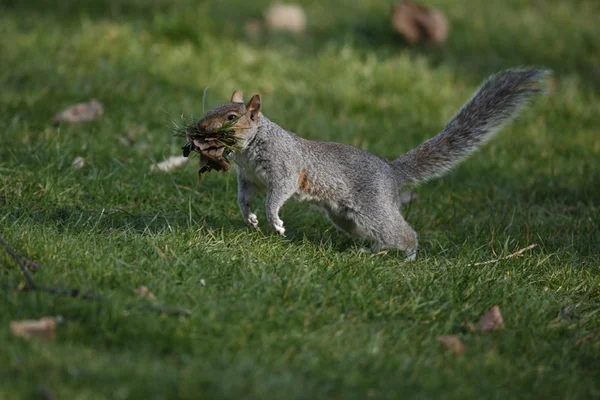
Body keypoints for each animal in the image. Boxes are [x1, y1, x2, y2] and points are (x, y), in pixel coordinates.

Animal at [193, 69, 548, 260]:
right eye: (212, 108)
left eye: (232, 117)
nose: (199, 126)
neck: (249, 148)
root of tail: (392, 171)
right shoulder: (249, 178)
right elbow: (244, 197)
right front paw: (249, 216)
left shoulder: (285, 168)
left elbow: (278, 194)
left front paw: (273, 220)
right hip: (348, 219)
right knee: (380, 237)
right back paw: (373, 252)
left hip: (373, 207)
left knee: (402, 234)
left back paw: (409, 255)